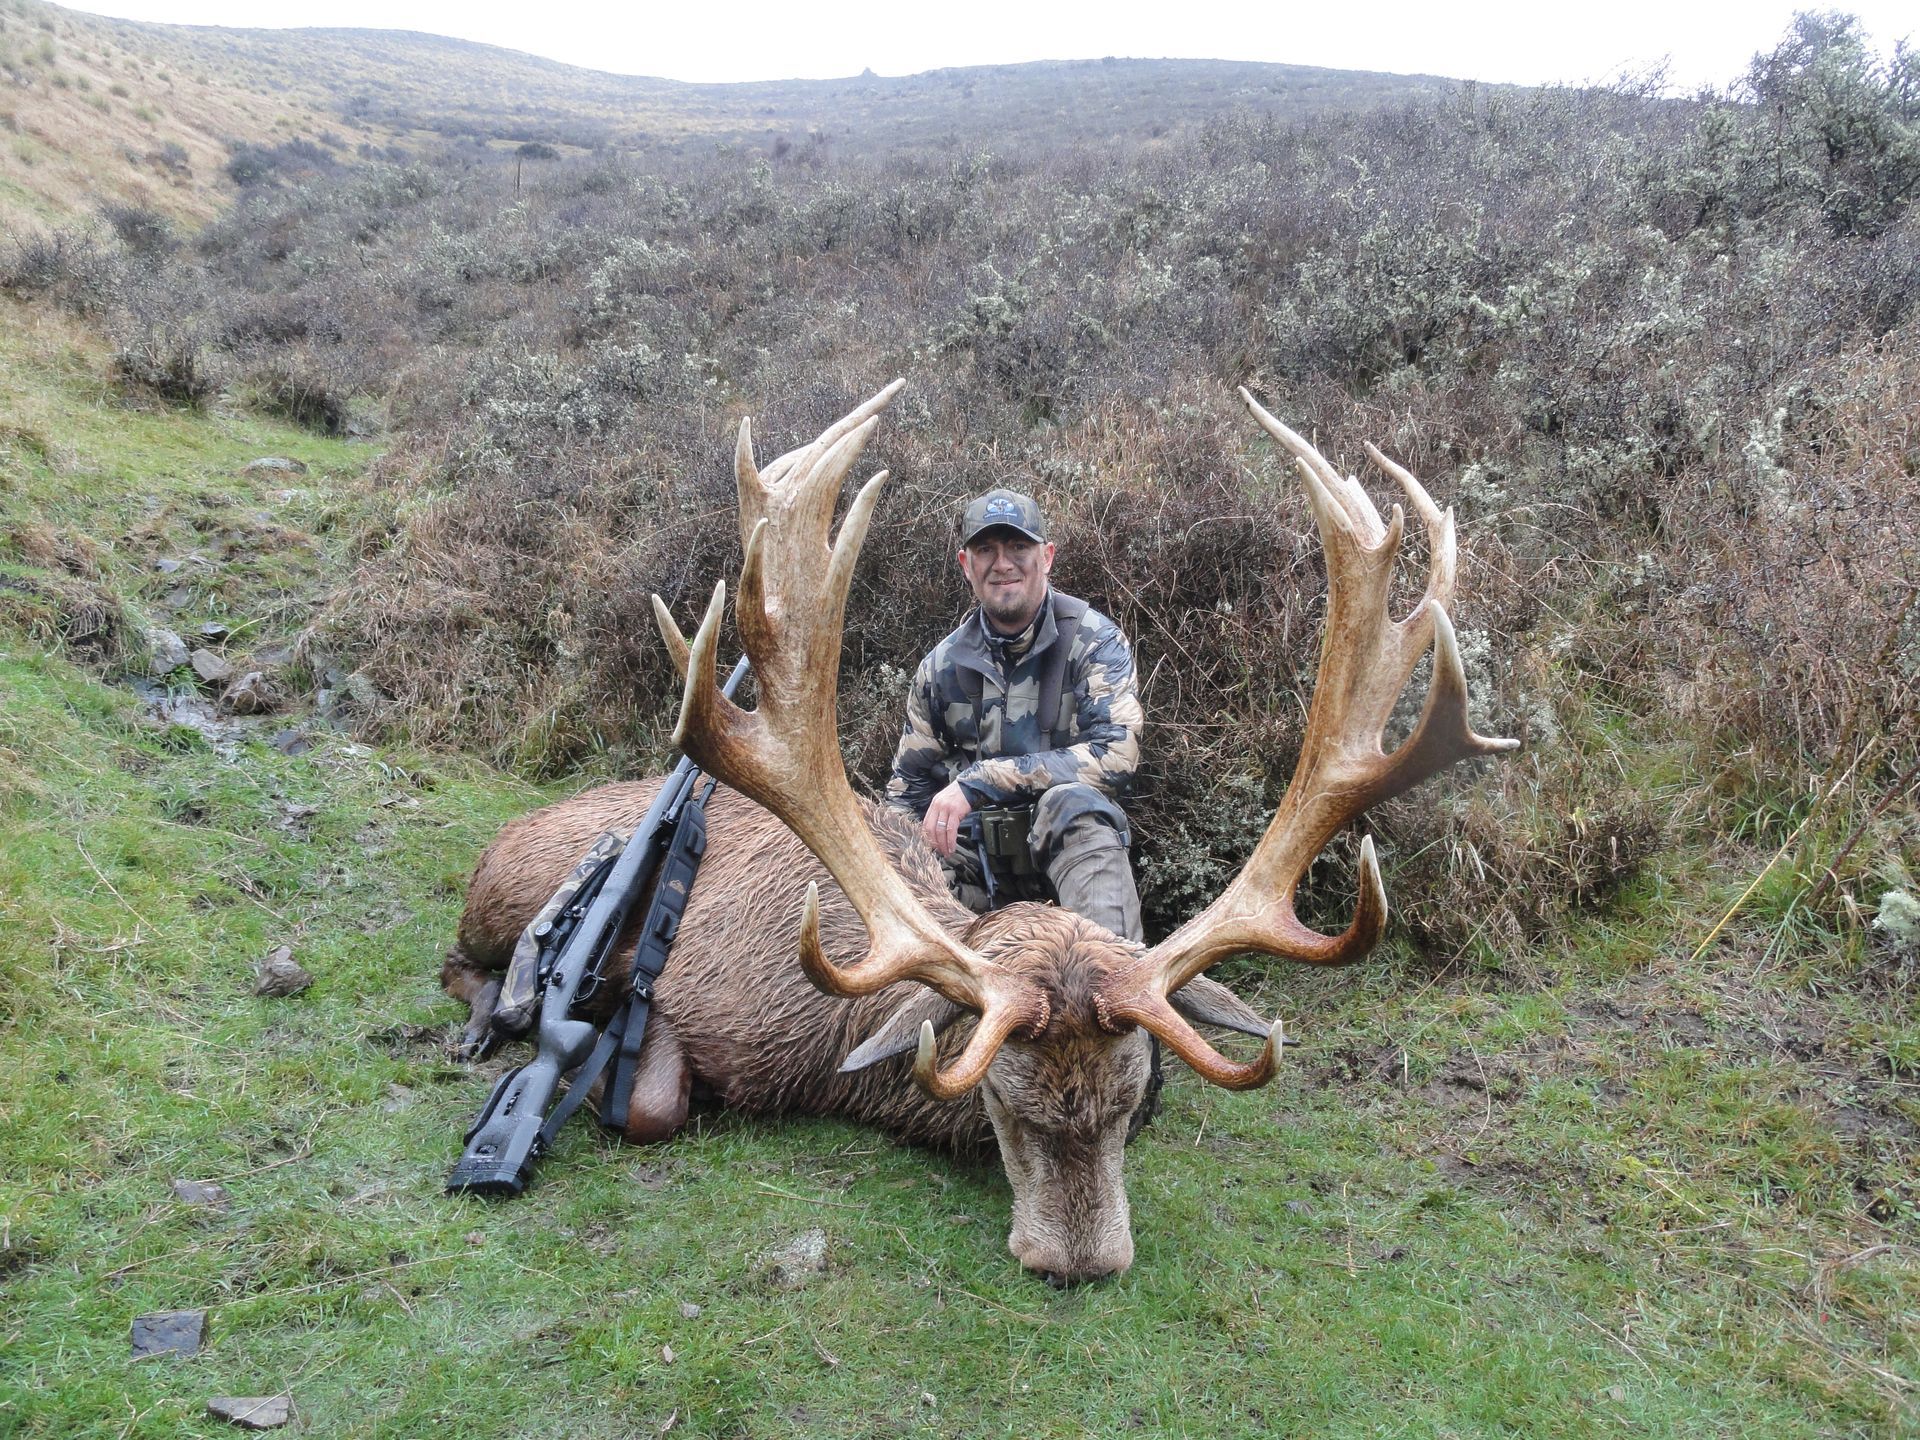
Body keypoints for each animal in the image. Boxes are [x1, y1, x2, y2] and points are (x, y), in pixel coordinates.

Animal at [442, 380, 1516, 1286]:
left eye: (1132, 1102)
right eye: (1002, 1098)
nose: (1080, 1264)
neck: (824, 1041)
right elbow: (652, 1102)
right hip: (493, 894)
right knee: (469, 958)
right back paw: (493, 1009)